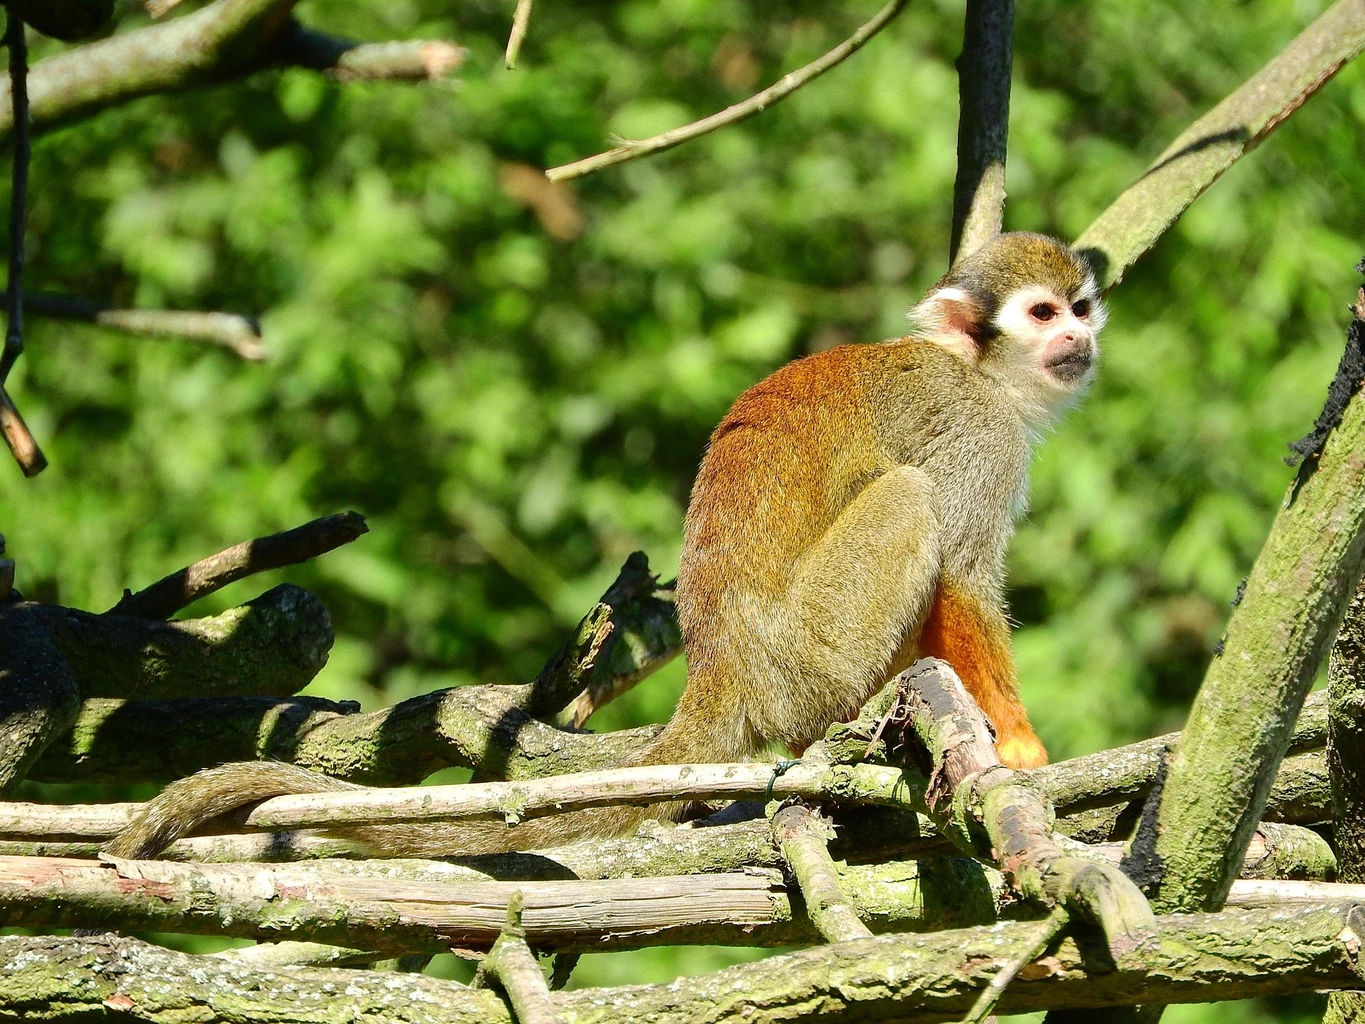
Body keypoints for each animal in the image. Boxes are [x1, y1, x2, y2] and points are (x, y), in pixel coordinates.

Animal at [104, 232, 1104, 861]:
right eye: (1040, 312)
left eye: (1081, 306)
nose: (1079, 339)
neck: (980, 375)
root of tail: (723, 666)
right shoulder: (977, 435)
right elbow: (964, 575)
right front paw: (1017, 744)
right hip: (813, 648)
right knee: (909, 498)